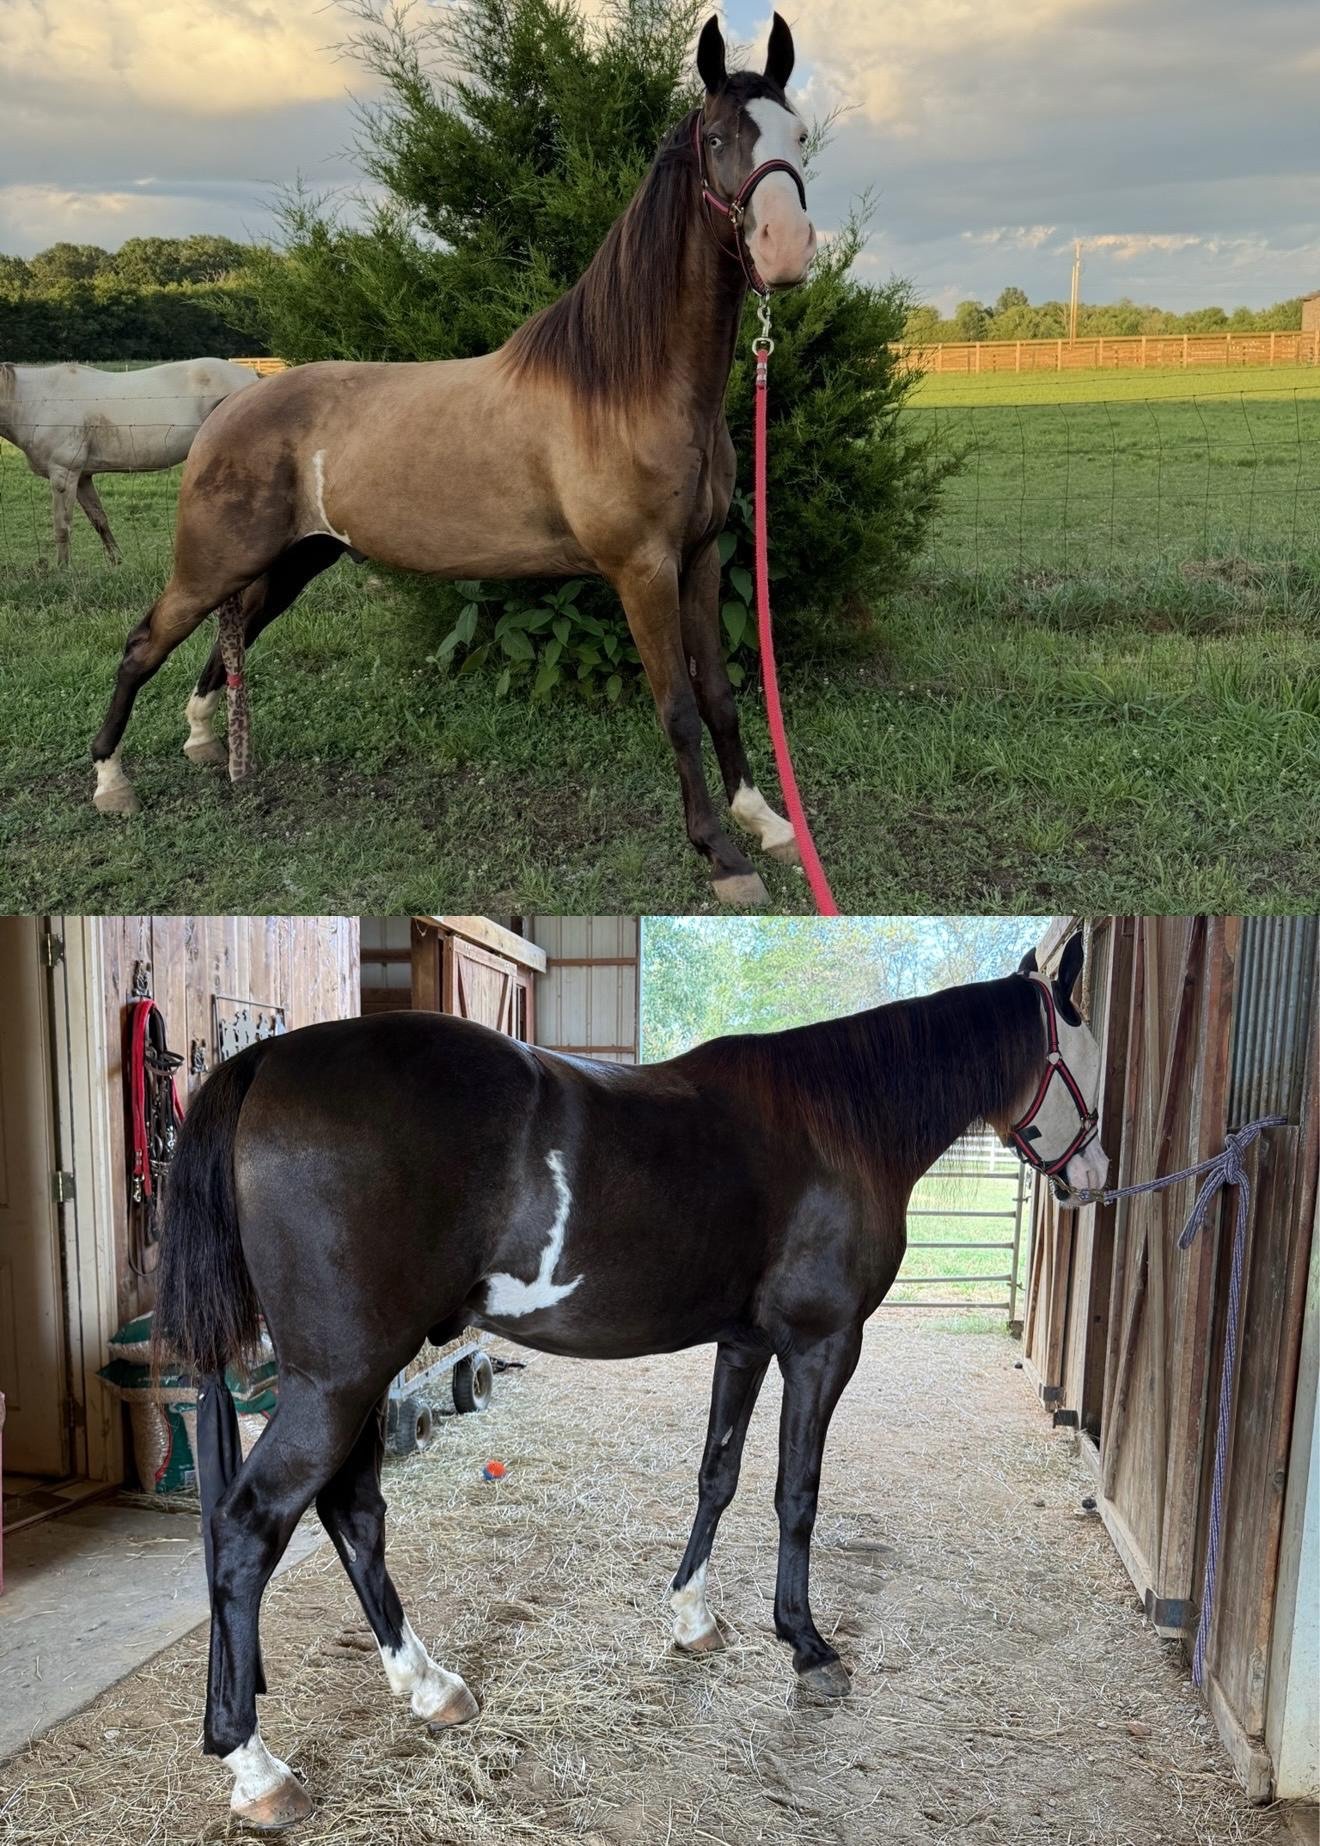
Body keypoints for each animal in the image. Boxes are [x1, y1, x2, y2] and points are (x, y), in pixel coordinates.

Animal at [0, 358, 255, 566]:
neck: (38, 401)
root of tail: (252, 377)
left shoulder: (63, 475)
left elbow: (62, 527)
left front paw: (63, 570)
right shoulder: (82, 478)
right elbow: (99, 520)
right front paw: (117, 563)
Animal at [89, 15, 817, 908]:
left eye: (798, 136)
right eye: (716, 139)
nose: (786, 250)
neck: (630, 386)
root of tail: (231, 405)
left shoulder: (702, 556)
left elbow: (718, 694)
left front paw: (766, 823)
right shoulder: (641, 569)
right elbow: (677, 705)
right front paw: (721, 854)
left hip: (289, 563)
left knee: (228, 644)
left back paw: (201, 743)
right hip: (210, 566)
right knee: (142, 644)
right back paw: (111, 783)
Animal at [154, 935, 1108, 1827]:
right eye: (1084, 1050)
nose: (1095, 1176)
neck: (838, 1122)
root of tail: (268, 1060)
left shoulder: (743, 1345)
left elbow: (719, 1475)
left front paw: (692, 1618)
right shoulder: (822, 1345)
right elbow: (796, 1493)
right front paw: (806, 1647)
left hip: (353, 1381)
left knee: (352, 1514)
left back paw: (429, 1687)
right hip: (339, 1383)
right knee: (250, 1526)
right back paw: (256, 1768)